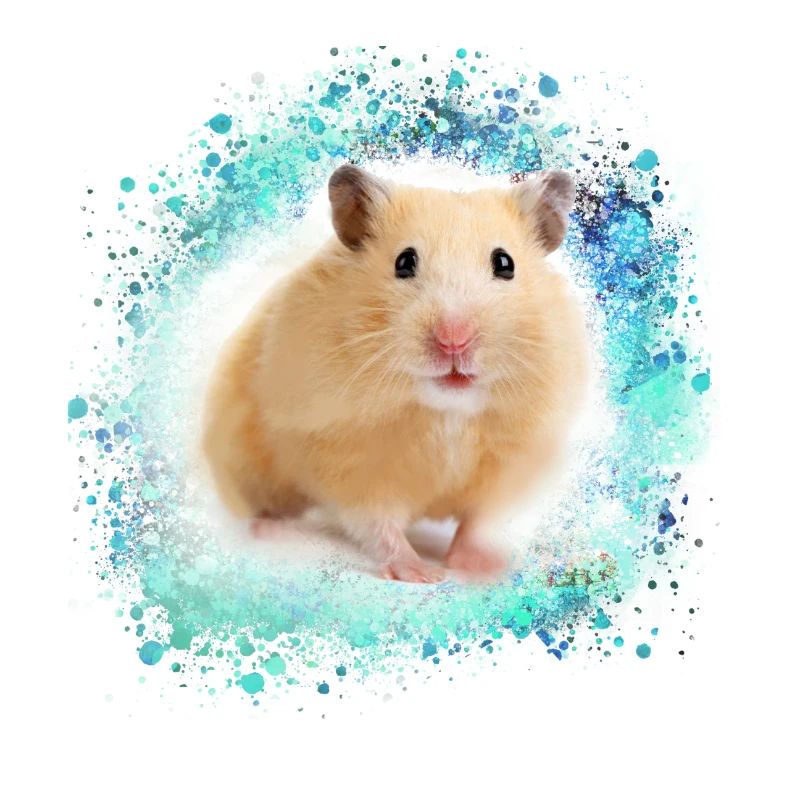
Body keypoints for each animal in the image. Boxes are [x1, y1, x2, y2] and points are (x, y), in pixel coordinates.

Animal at [202, 163, 588, 583]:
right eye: (404, 262)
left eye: (505, 264)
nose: (454, 340)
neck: (446, 410)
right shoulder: (346, 457)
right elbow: (378, 523)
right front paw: (423, 574)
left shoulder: (510, 461)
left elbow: (478, 522)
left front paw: (483, 568)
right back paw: (271, 530)